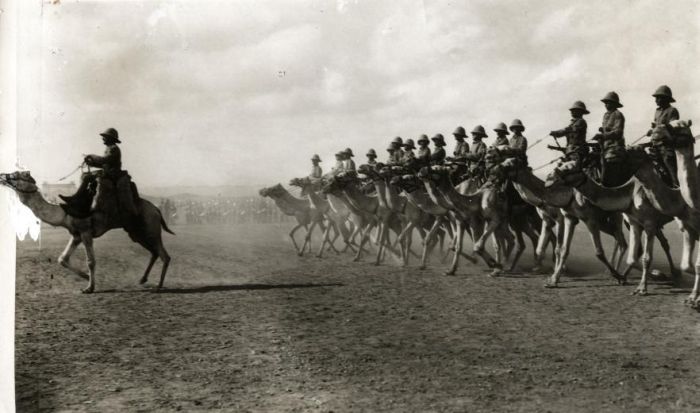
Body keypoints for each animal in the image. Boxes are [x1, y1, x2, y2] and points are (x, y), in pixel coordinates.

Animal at [0, 171, 174, 292]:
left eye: (15, 175)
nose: (2, 176)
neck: (64, 212)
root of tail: (157, 209)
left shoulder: (86, 231)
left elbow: (91, 261)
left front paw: (89, 288)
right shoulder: (76, 234)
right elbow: (62, 259)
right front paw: (85, 277)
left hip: (150, 227)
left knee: (164, 255)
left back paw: (159, 286)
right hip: (136, 232)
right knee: (154, 252)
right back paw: (142, 280)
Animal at [494, 158, 628, 286]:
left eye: (510, 164)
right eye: (504, 161)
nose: (496, 168)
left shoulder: (561, 219)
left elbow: (558, 247)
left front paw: (558, 271)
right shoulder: (548, 220)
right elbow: (544, 248)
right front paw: (550, 274)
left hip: (613, 218)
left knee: (621, 240)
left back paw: (618, 274)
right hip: (602, 223)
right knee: (618, 238)